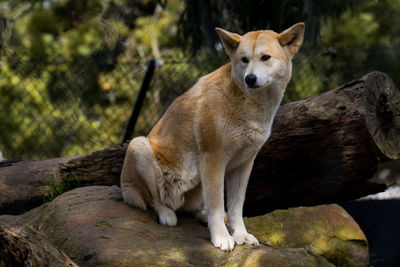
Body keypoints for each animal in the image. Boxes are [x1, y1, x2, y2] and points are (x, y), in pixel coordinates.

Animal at [120, 22, 304, 251]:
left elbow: (235, 207)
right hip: (139, 146)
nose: (250, 78)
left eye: (265, 57)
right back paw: (166, 214)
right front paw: (222, 237)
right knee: (152, 200)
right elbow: (217, 204)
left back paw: (201, 215)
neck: (250, 105)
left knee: (191, 208)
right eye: (244, 59)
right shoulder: (213, 159)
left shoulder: (243, 164)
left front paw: (240, 234)